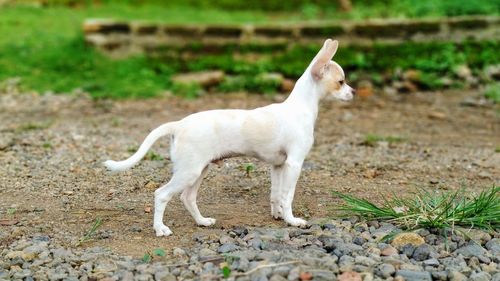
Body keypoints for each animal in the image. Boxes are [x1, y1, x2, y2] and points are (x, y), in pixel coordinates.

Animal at [104, 38, 356, 236]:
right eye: (341, 82)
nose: (353, 92)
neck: (301, 106)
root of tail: (179, 125)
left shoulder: (278, 166)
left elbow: (275, 195)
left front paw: (278, 216)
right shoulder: (294, 164)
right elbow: (287, 195)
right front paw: (292, 220)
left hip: (199, 171)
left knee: (187, 197)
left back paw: (202, 222)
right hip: (189, 172)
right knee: (161, 195)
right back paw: (160, 229)